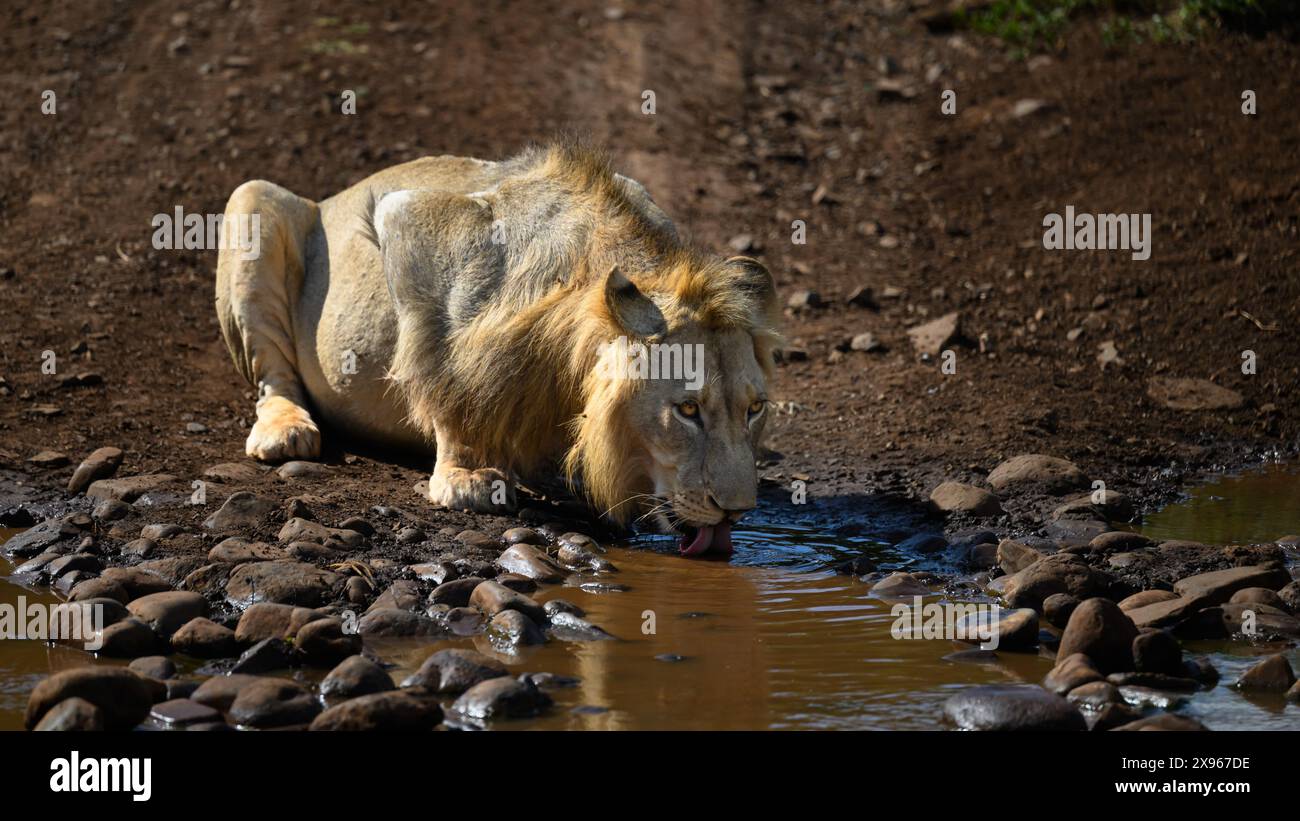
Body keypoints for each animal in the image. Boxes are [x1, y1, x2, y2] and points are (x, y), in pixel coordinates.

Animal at [214, 140, 780, 555]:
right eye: (687, 410)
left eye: (755, 410)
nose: (736, 511)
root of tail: (335, 197)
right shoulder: (409, 218)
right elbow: (441, 365)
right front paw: (466, 475)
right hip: (252, 199)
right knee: (273, 377)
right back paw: (285, 430)